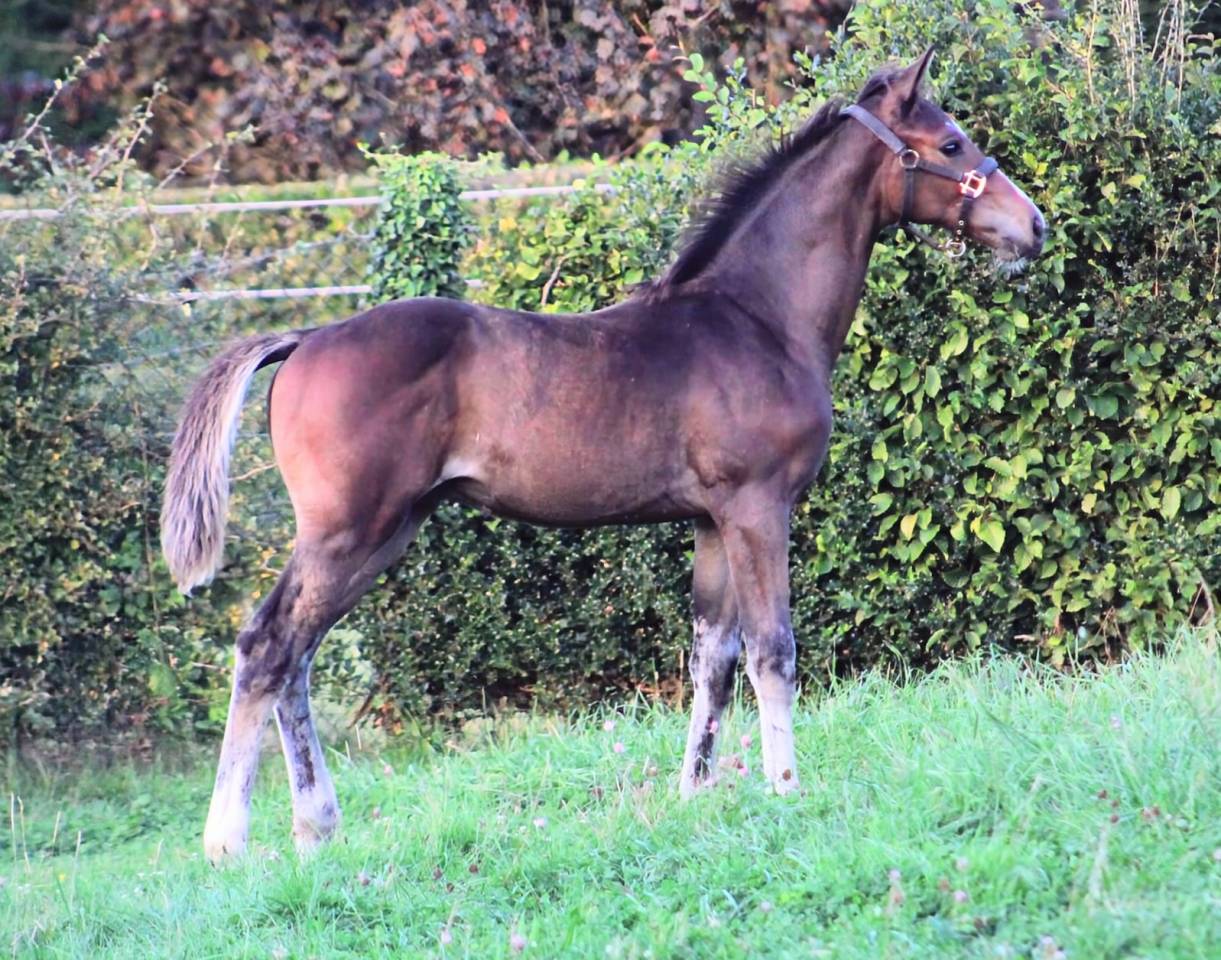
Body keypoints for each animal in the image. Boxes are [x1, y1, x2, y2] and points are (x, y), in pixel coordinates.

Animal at [161, 47, 1045, 862]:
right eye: (953, 142)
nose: (1032, 225)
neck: (756, 319)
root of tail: (307, 336)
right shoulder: (758, 508)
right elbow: (773, 650)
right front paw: (787, 788)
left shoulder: (711, 521)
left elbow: (712, 657)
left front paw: (695, 794)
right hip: (348, 530)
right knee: (266, 646)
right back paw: (228, 841)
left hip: (386, 531)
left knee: (298, 655)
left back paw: (317, 828)